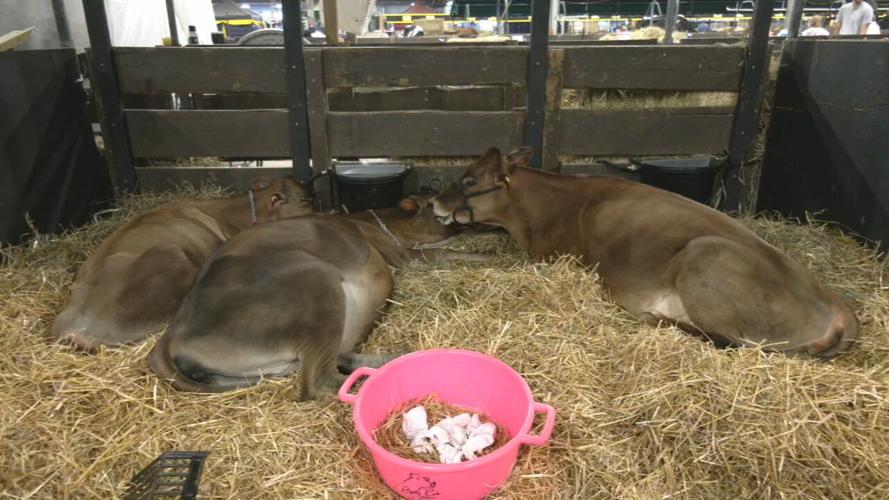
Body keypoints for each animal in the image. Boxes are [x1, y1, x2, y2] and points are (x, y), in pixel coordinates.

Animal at [147, 197, 485, 401]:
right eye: (436, 210)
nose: (470, 222)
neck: (365, 220)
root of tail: (171, 333)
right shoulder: (397, 252)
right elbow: (441, 252)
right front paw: (488, 256)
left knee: (340, 358)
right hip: (316, 283)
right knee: (319, 381)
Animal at [431, 147, 858, 358]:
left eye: (469, 180)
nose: (434, 201)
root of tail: (838, 307)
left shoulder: (547, 258)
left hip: (705, 255)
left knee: (727, 340)